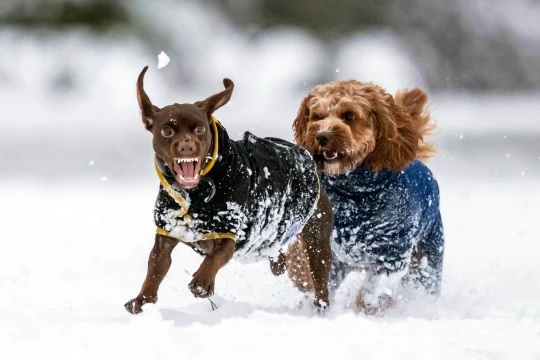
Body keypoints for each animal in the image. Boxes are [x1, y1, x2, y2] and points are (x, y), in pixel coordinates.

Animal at [125, 67, 334, 316]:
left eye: (200, 128)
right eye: (166, 130)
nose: (187, 146)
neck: (194, 194)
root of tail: (310, 158)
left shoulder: (230, 233)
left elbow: (215, 257)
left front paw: (202, 282)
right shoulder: (166, 232)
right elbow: (155, 267)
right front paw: (142, 300)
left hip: (317, 238)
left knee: (320, 280)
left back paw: (321, 308)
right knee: (277, 254)